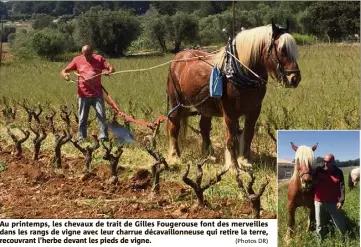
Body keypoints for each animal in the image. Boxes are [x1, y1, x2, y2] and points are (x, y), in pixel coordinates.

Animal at [166, 20, 300, 170]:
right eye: (282, 49)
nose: (295, 78)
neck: (238, 71)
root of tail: (178, 56)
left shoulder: (254, 110)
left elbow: (248, 135)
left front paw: (245, 160)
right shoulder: (229, 112)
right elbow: (231, 139)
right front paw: (233, 166)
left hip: (206, 106)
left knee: (204, 128)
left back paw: (209, 155)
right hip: (176, 102)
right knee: (174, 125)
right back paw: (174, 156)